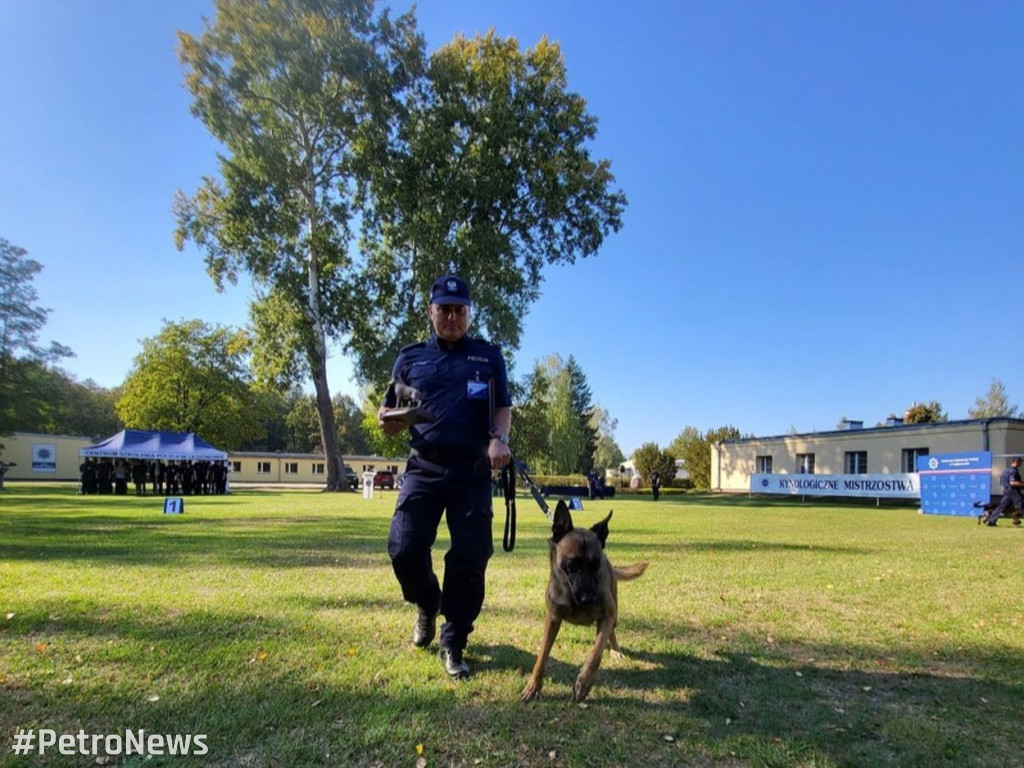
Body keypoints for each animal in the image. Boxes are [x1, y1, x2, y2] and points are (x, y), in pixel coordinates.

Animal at [520, 499, 647, 704]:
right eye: (572, 565)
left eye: (596, 564)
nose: (588, 598)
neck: (573, 597)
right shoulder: (553, 618)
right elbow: (542, 657)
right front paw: (533, 686)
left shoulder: (606, 616)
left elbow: (595, 655)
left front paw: (583, 684)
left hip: (614, 614)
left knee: (611, 633)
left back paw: (615, 650)